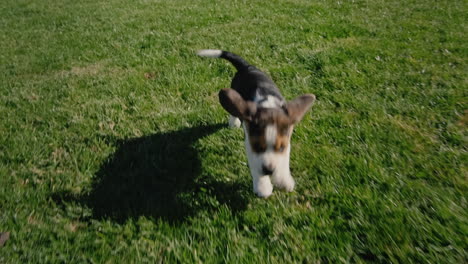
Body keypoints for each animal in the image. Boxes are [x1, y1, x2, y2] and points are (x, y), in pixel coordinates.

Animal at [196, 49, 316, 198]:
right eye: (258, 146)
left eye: (281, 148)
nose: (269, 170)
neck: (268, 105)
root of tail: (247, 66)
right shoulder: (249, 144)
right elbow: (255, 165)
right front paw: (263, 187)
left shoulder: (287, 142)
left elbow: (283, 161)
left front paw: (283, 180)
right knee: (234, 109)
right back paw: (233, 123)